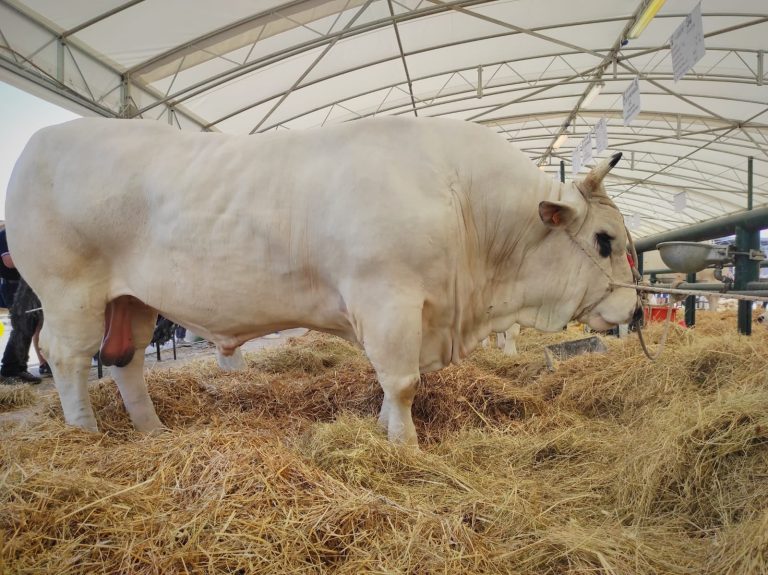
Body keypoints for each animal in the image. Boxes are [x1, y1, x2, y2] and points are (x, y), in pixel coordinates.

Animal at [7, 117, 636, 446]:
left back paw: (152, 430)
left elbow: (388, 382)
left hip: (132, 300)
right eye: (605, 239)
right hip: (69, 293)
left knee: (126, 361)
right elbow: (402, 381)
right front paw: (405, 446)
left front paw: (384, 430)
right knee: (67, 358)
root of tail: (42, 139)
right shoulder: (388, 299)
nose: (632, 310)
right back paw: (85, 434)